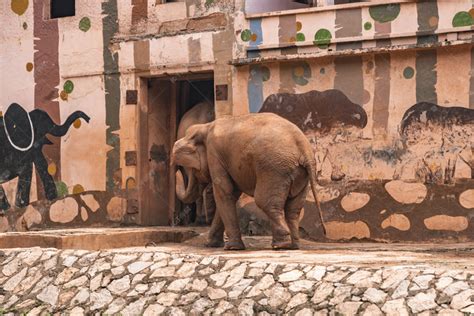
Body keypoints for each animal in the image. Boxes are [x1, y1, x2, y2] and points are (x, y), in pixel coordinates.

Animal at [172, 112, 328, 251]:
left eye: (190, 168)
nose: (177, 172)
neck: (205, 127)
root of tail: (304, 148)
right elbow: (231, 194)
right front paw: (211, 245)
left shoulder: (214, 154)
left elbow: (224, 192)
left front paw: (232, 248)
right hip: (299, 173)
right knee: (293, 208)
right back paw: (293, 246)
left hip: (274, 169)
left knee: (265, 202)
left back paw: (281, 245)